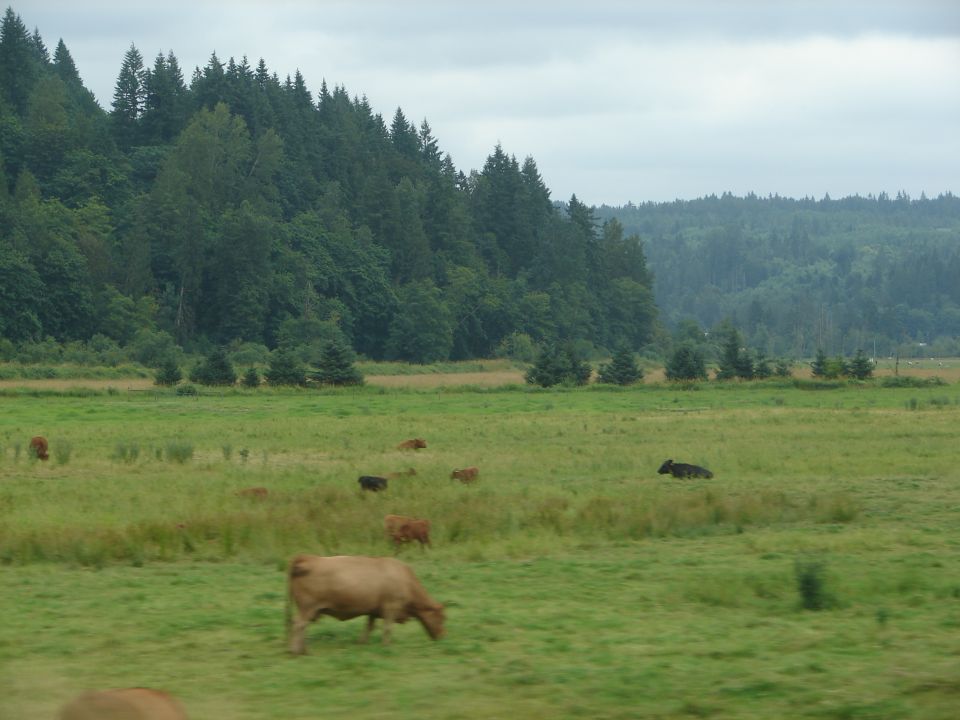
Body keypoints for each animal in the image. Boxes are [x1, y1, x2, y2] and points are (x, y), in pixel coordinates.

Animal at [286, 554, 446, 653]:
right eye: (443, 618)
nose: (443, 637)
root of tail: (307, 558)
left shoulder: (373, 610)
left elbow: (369, 627)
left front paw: (362, 642)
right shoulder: (391, 607)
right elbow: (387, 628)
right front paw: (386, 645)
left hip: (309, 610)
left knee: (301, 625)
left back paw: (303, 649)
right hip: (307, 608)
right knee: (299, 625)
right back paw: (297, 651)